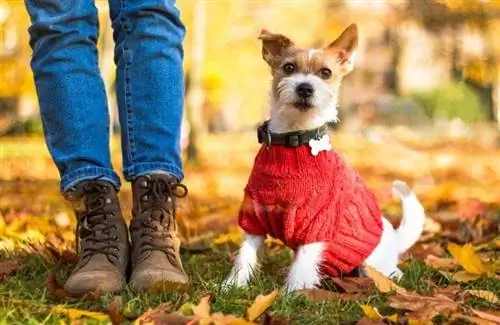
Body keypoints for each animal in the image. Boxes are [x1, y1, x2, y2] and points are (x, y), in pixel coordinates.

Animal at [223, 23, 426, 292]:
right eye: (289, 67)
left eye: (326, 73)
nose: (305, 88)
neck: (293, 142)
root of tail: (393, 238)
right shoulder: (254, 216)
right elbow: (245, 255)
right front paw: (232, 285)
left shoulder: (316, 224)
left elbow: (302, 265)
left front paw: (292, 293)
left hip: (373, 265)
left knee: (390, 274)